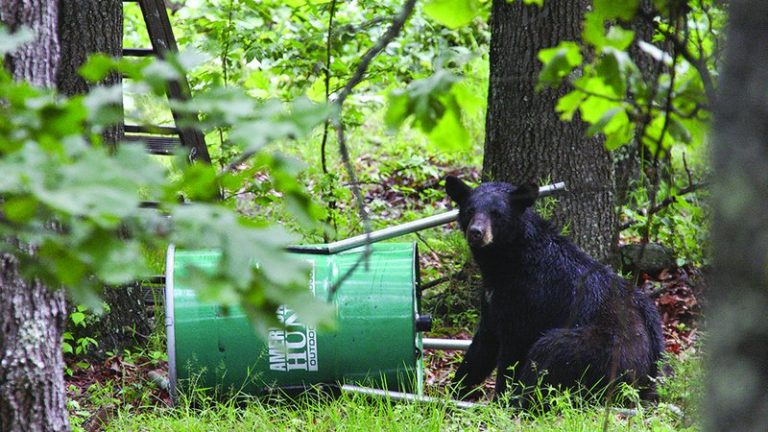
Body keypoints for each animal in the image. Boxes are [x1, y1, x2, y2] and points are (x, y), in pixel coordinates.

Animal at [445, 176, 664, 407]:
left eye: (497, 213)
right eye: (469, 210)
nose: (476, 232)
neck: (508, 262)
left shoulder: (527, 299)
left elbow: (513, 350)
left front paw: (500, 399)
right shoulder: (492, 299)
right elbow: (483, 345)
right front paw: (455, 389)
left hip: (598, 350)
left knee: (548, 351)